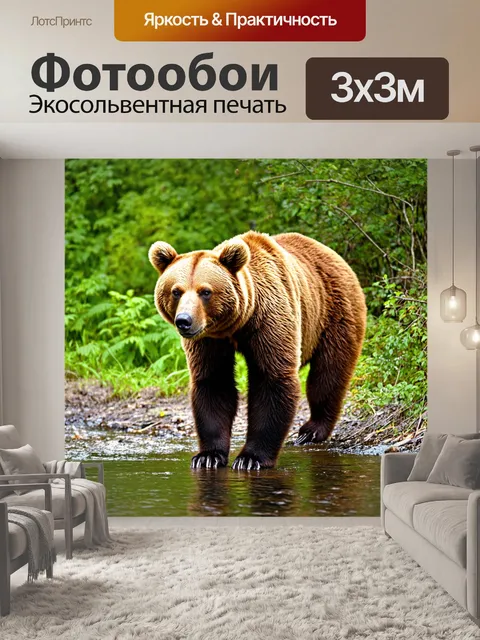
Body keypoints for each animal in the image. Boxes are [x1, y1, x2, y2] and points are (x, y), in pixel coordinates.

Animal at [148, 231, 366, 470]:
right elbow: (214, 383)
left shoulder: (268, 319)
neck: (234, 326)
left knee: (328, 373)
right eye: (176, 291)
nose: (184, 321)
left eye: (205, 291)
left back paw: (311, 431)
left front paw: (250, 458)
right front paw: (208, 456)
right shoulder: (209, 340)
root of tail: (333, 255)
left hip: (335, 312)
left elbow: (272, 379)